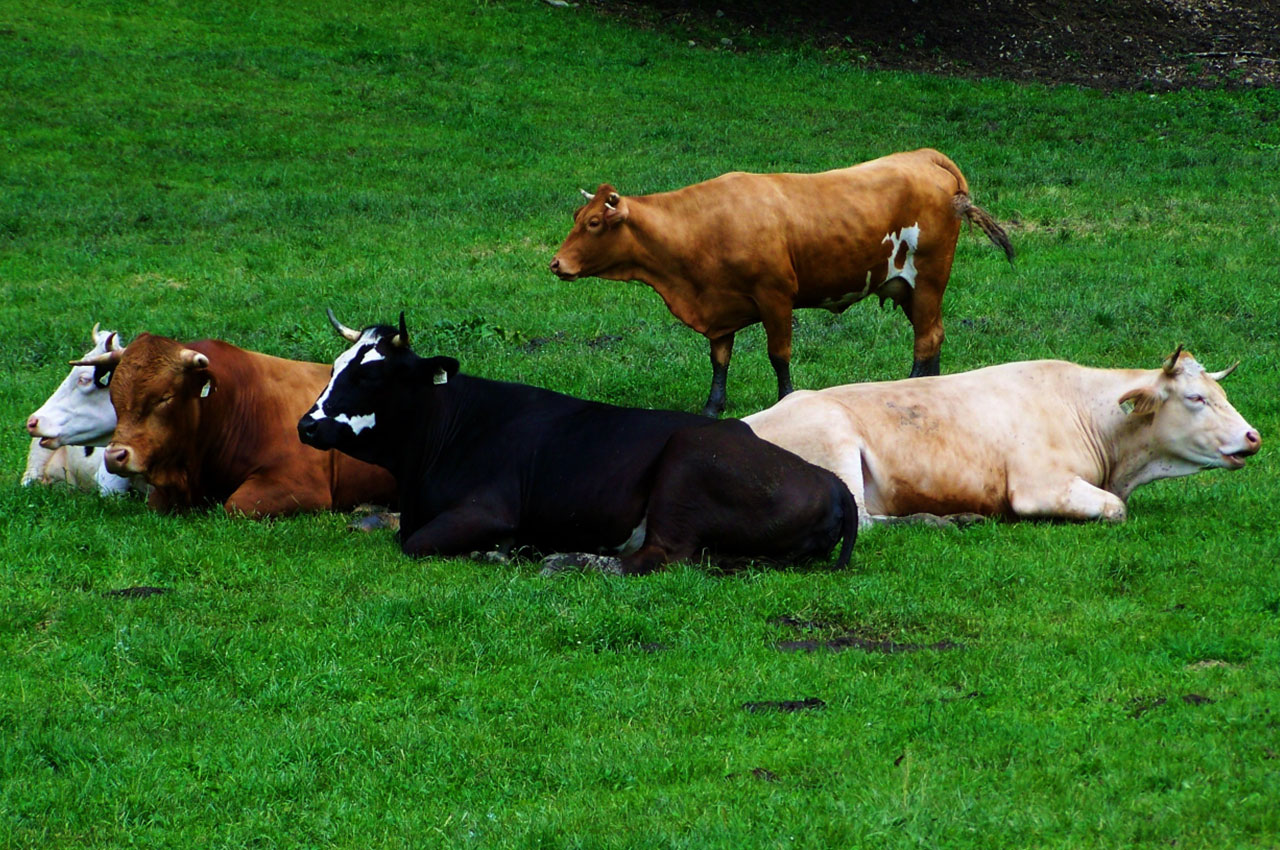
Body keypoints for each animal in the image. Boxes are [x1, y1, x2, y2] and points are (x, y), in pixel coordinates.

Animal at [298, 308, 855, 573]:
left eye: (370, 375)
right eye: (334, 367)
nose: (305, 424)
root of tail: (830, 481)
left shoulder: (488, 510)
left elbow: (413, 543)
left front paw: (499, 552)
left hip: (685, 465)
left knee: (656, 558)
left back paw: (566, 561)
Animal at [550, 147, 1008, 417]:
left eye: (593, 223)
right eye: (576, 216)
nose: (556, 264)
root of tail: (923, 156)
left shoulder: (775, 296)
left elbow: (779, 355)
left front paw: (786, 400)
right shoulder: (721, 307)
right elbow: (719, 359)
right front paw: (712, 407)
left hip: (929, 277)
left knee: (926, 338)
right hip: (911, 288)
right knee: (933, 334)